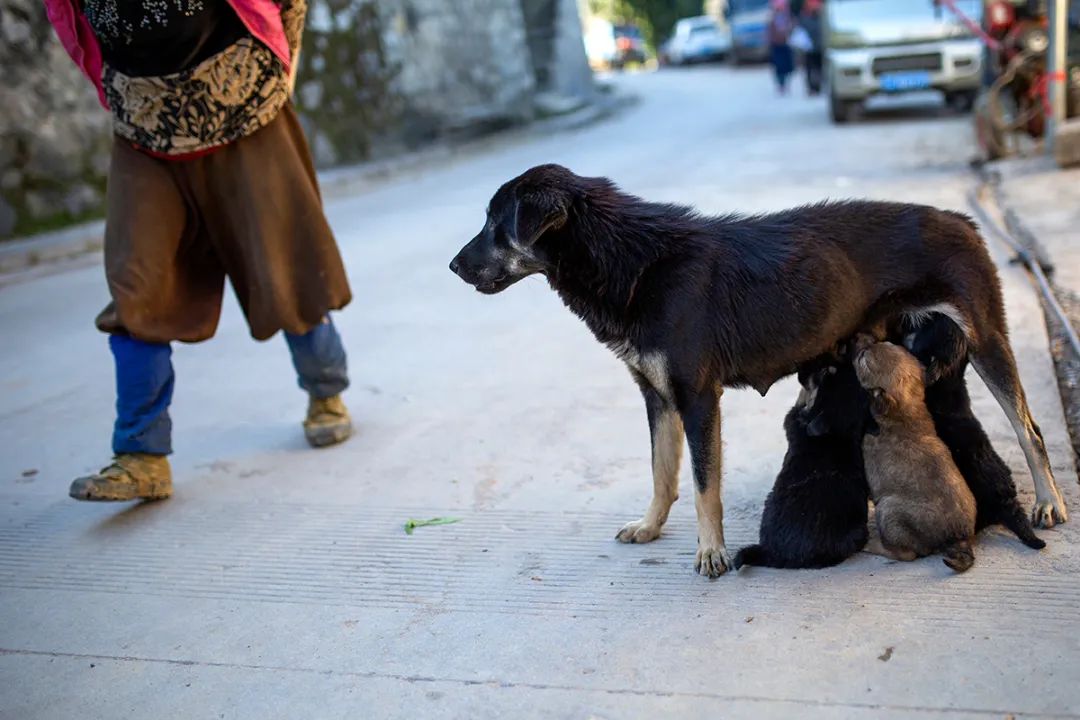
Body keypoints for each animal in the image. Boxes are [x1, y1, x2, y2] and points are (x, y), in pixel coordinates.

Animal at [851, 341, 980, 569]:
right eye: (889, 343)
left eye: (864, 360)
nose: (862, 343)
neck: (907, 411)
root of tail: (959, 537)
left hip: (888, 509)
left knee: (908, 554)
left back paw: (872, 543)